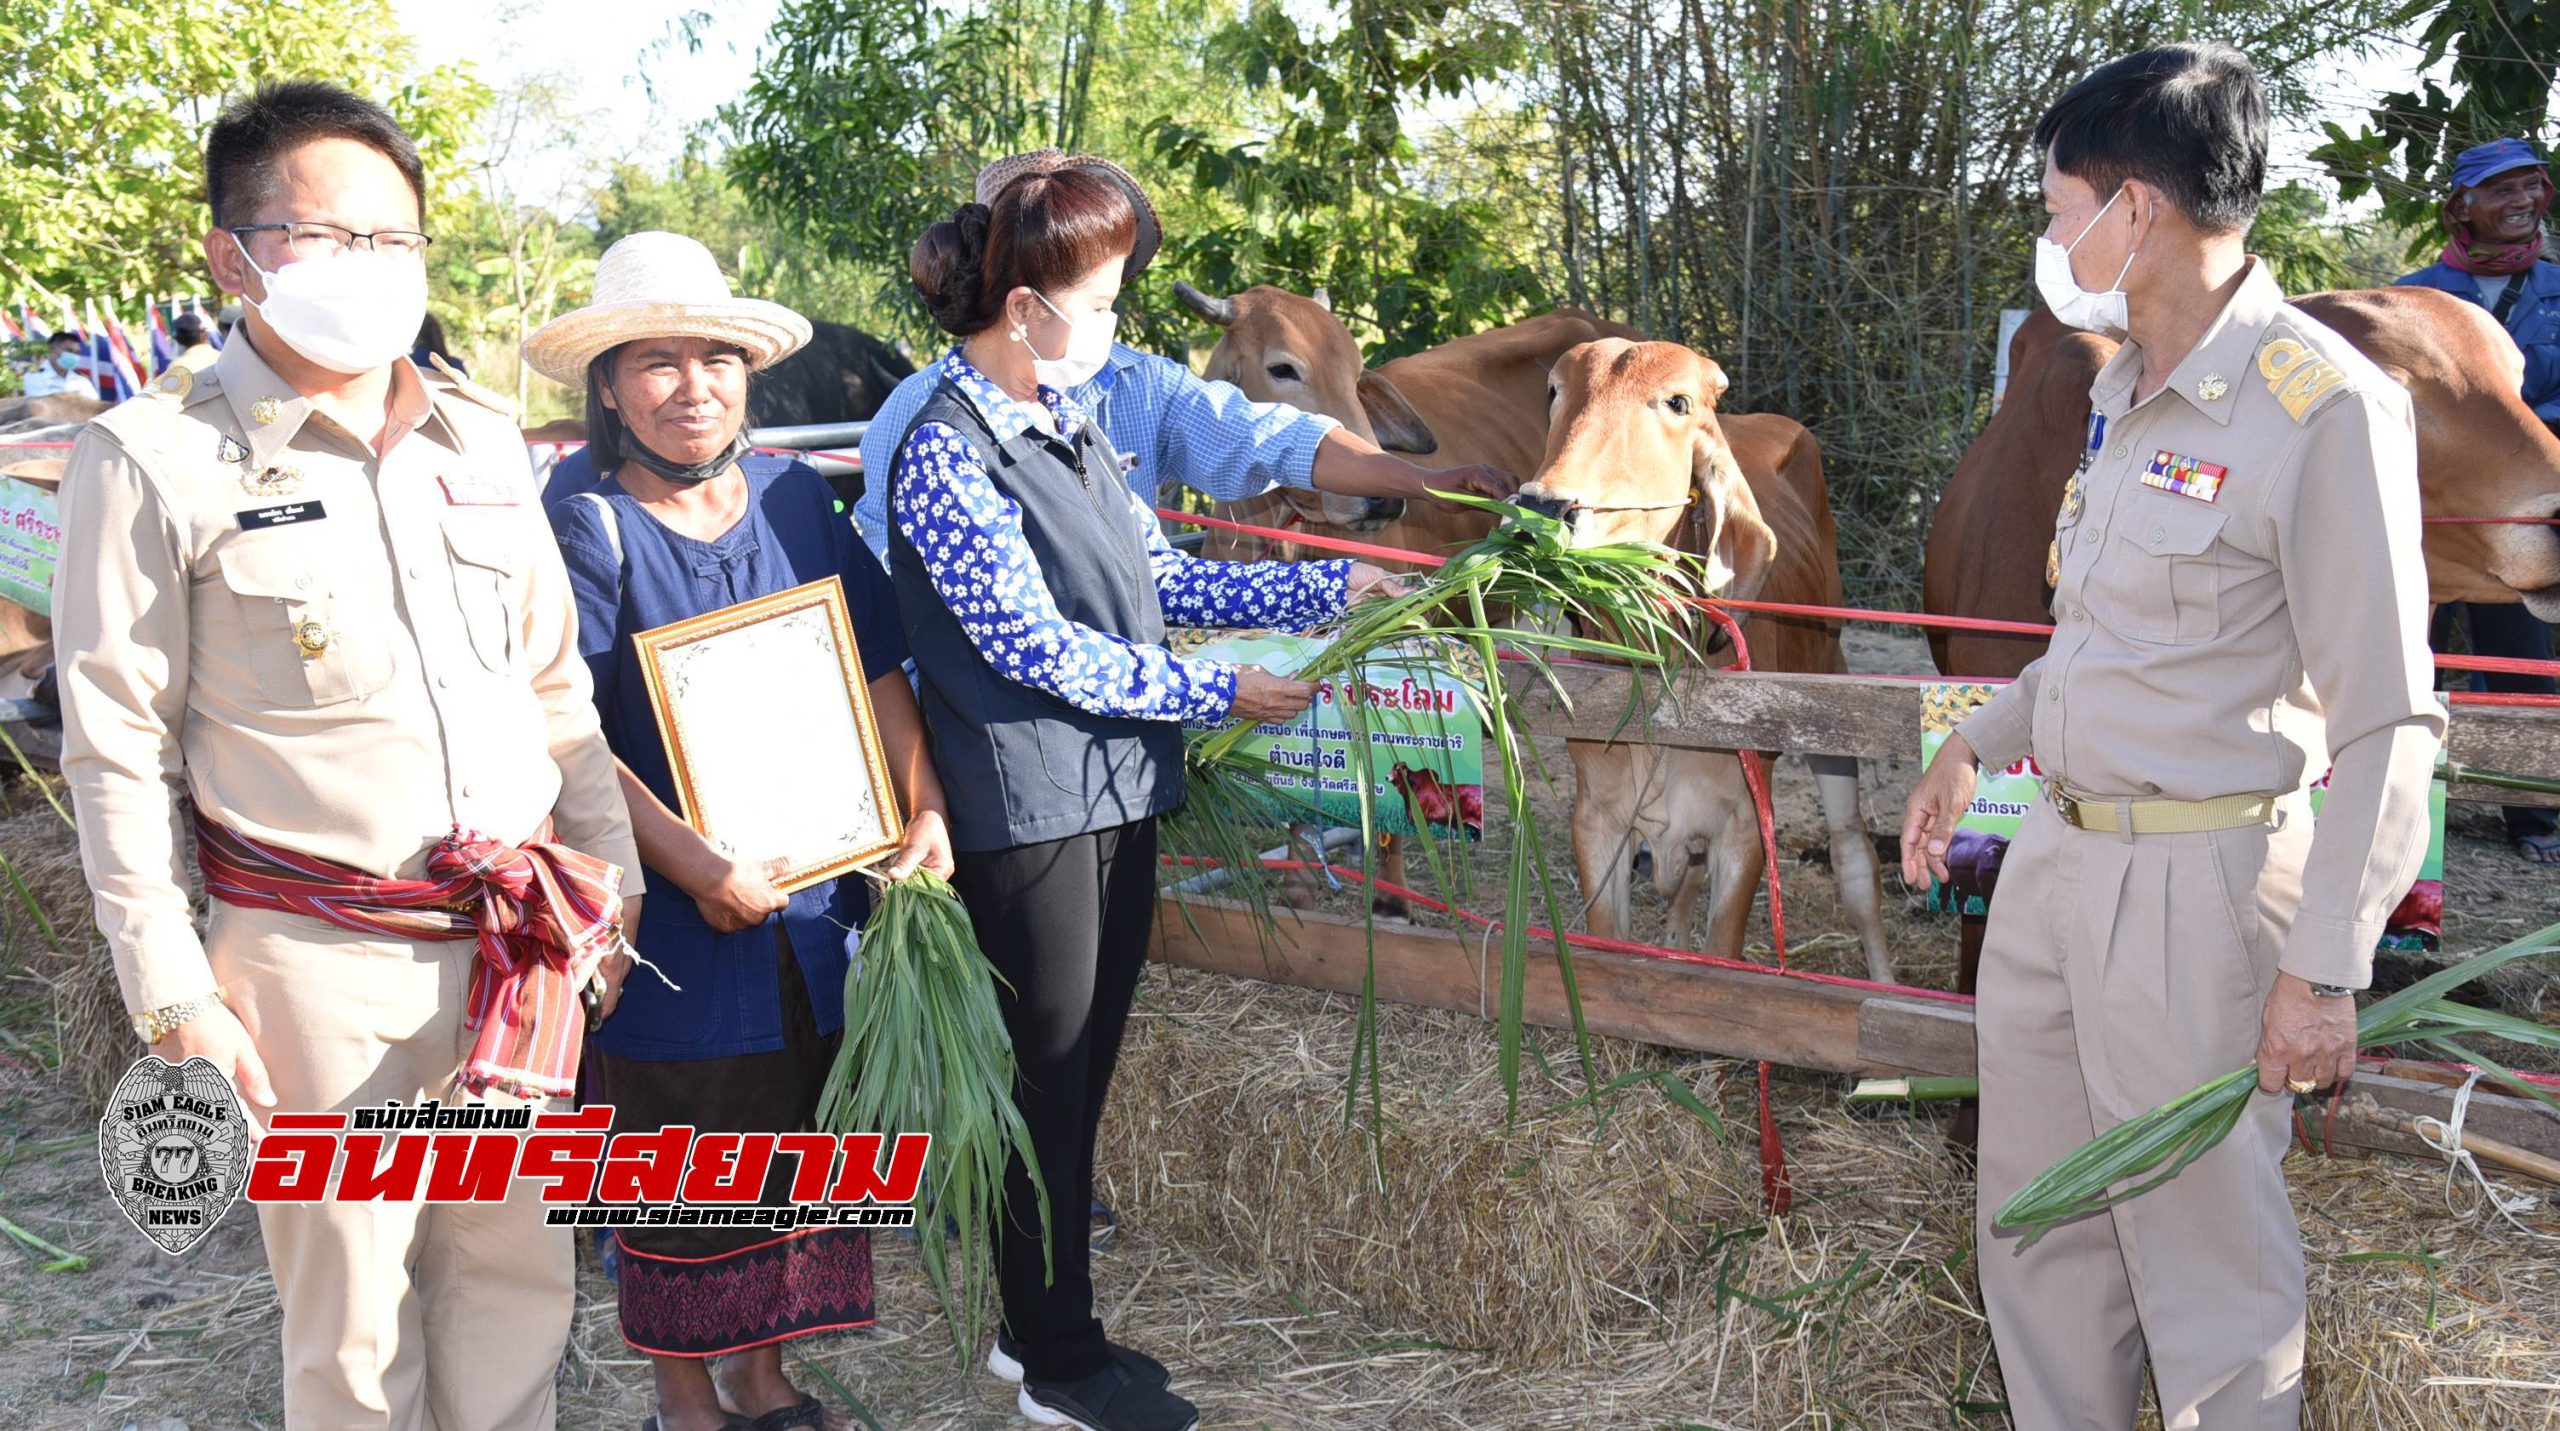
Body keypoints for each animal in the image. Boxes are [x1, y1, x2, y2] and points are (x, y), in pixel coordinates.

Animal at [1505, 340, 1894, 977]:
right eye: (1554, 391)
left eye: (1677, 403)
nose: (1543, 507)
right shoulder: (1597, 820)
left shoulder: (1745, 827)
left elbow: (1721, 952)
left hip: (1833, 693)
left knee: (1854, 860)